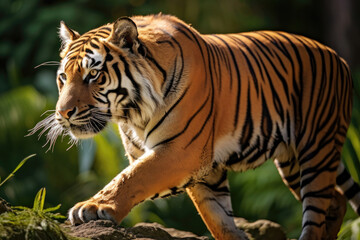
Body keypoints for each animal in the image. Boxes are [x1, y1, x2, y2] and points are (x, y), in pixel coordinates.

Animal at [31, 14, 360, 239]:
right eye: (63, 77)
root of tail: (339, 58)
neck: (132, 115)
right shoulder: (204, 169)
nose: (63, 113)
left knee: (318, 208)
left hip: (316, 148)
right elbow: (218, 218)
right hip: (292, 162)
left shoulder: (181, 151)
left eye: (93, 76)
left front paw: (94, 207)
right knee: (335, 201)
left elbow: (131, 178)